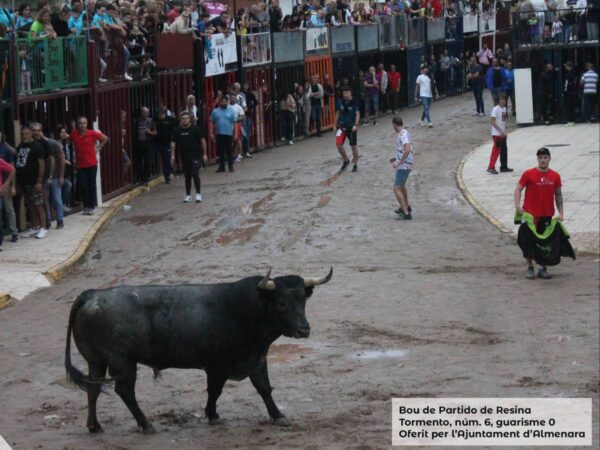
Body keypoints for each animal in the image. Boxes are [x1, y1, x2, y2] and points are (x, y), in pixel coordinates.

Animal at [65, 268, 332, 434]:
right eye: (282, 302)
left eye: (303, 300)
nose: (303, 330)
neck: (242, 309)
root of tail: (91, 295)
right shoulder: (217, 366)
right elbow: (215, 390)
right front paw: (212, 415)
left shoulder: (256, 359)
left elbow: (264, 388)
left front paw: (277, 416)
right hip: (123, 363)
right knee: (124, 391)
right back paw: (146, 424)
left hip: (96, 361)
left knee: (93, 388)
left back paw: (94, 426)